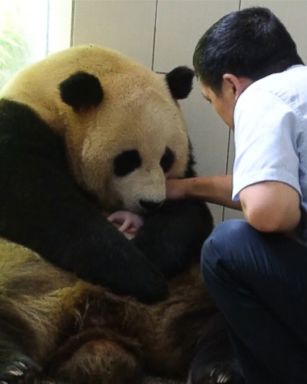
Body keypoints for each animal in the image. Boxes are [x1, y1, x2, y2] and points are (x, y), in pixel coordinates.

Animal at [0, 45, 243, 384]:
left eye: (166, 158)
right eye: (128, 159)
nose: (152, 203)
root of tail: (105, 332)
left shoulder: (184, 176)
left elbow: (188, 211)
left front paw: (149, 254)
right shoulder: (18, 128)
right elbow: (39, 201)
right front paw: (140, 274)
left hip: (189, 292)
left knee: (222, 321)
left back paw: (220, 371)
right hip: (22, 281)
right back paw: (13, 367)